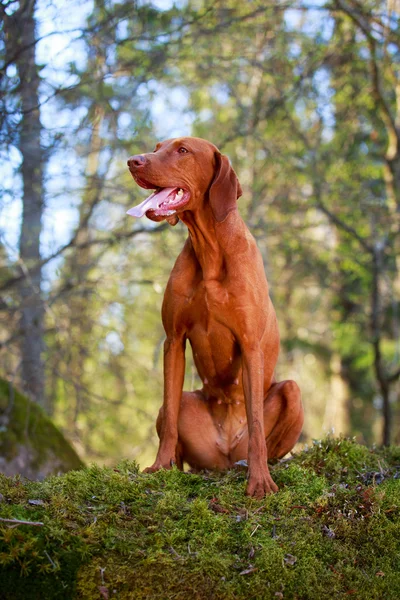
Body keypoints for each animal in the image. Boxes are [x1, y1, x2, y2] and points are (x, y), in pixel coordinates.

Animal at [128, 136, 304, 496]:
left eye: (182, 150)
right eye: (157, 146)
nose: (133, 161)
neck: (209, 249)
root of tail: (225, 452)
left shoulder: (251, 345)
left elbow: (256, 426)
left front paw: (260, 481)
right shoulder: (174, 340)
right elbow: (170, 420)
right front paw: (159, 467)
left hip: (292, 392)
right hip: (187, 415)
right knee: (171, 412)